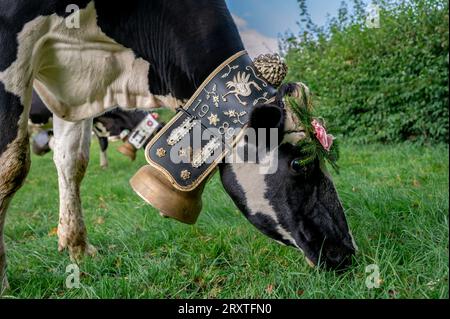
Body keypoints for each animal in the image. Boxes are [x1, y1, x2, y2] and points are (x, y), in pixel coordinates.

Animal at [0, 0, 358, 292]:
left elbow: (73, 162)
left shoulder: (77, 93)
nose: (347, 251)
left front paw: (77, 249)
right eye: (300, 165)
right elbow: (12, 166)